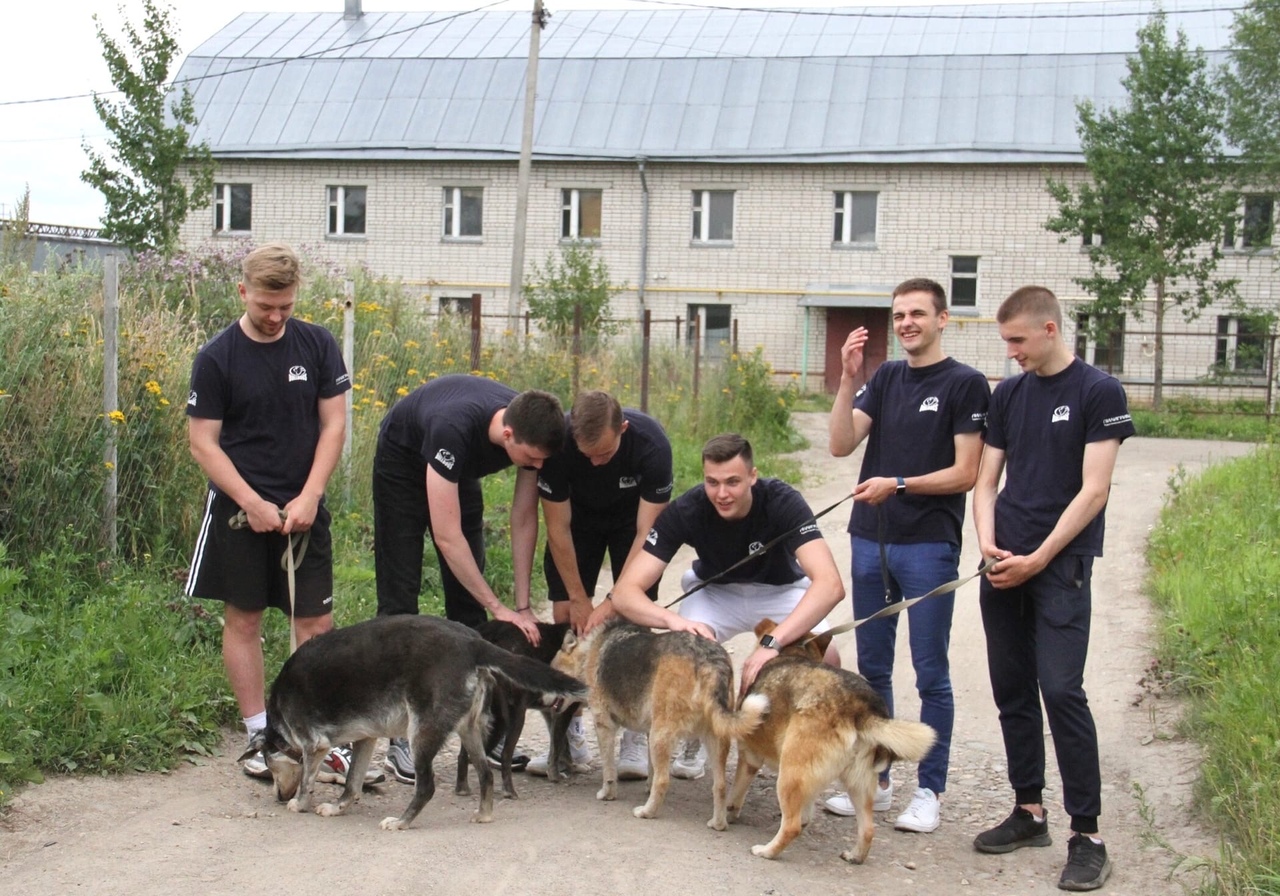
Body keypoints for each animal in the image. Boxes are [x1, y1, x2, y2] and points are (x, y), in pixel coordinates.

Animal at [552, 619, 768, 829]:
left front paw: (607, 794)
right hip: (713, 738)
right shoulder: (648, 732)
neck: (588, 653)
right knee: (720, 786)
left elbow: (609, 771)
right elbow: (651, 771)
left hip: (661, 735)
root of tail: (707, 660)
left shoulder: (604, 727)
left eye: (552, 673)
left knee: (664, 780)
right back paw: (718, 824)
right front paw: (648, 788)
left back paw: (647, 812)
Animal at [727, 619, 936, 865]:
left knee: (791, 827)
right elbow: (806, 808)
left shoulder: (749, 758)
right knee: (868, 829)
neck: (795, 651)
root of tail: (859, 708)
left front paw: (729, 812)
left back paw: (767, 851)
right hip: (857, 784)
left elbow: (737, 793)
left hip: (789, 774)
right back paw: (855, 856)